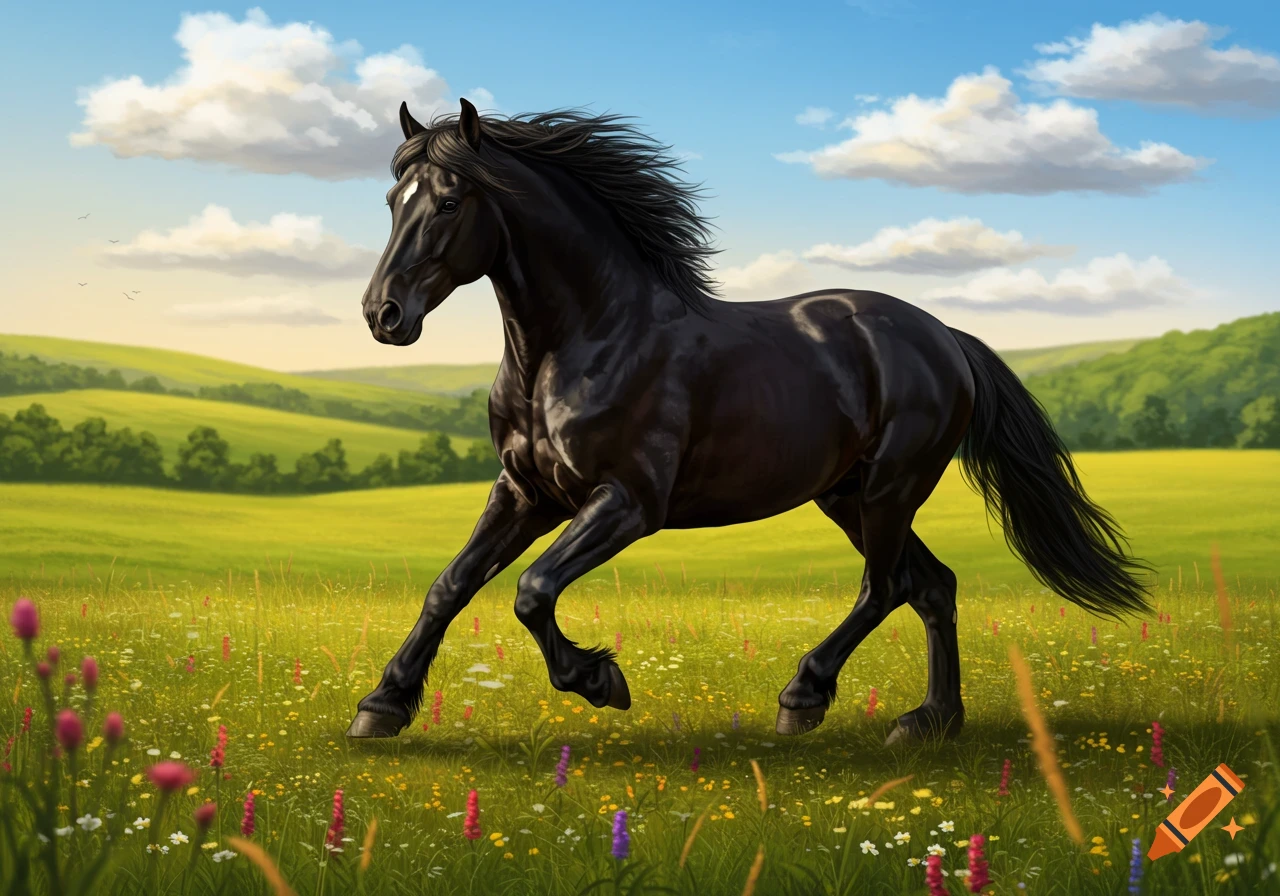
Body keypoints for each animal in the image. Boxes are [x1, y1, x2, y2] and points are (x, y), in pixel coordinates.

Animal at [346, 98, 1152, 744]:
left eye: (450, 202)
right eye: (391, 200)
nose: (383, 315)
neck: (585, 340)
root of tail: (945, 337)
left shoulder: (628, 502)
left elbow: (532, 589)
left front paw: (602, 681)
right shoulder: (525, 493)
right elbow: (451, 585)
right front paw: (381, 707)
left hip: (891, 487)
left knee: (887, 585)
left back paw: (805, 697)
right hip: (847, 494)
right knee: (933, 585)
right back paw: (929, 721)